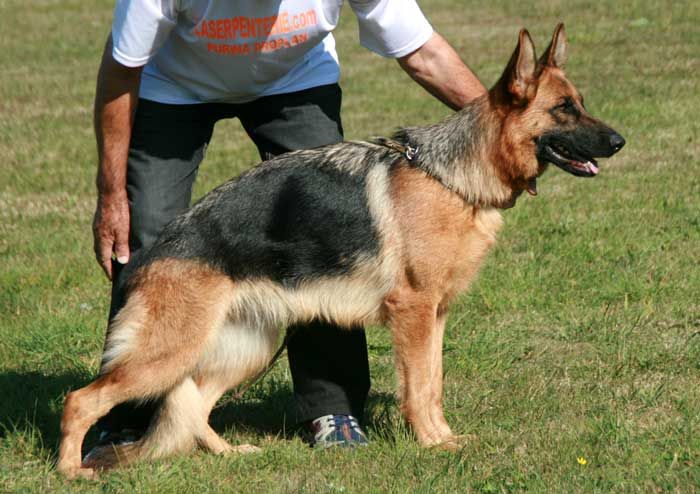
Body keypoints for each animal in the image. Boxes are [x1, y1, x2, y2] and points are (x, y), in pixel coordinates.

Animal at [57, 24, 624, 478]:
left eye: (580, 102)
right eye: (563, 109)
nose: (620, 141)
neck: (453, 177)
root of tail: (154, 250)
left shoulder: (436, 315)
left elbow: (434, 383)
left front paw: (444, 438)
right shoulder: (413, 313)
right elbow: (419, 387)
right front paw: (431, 445)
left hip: (244, 347)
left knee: (191, 405)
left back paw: (229, 454)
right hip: (168, 352)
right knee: (82, 400)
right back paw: (70, 471)